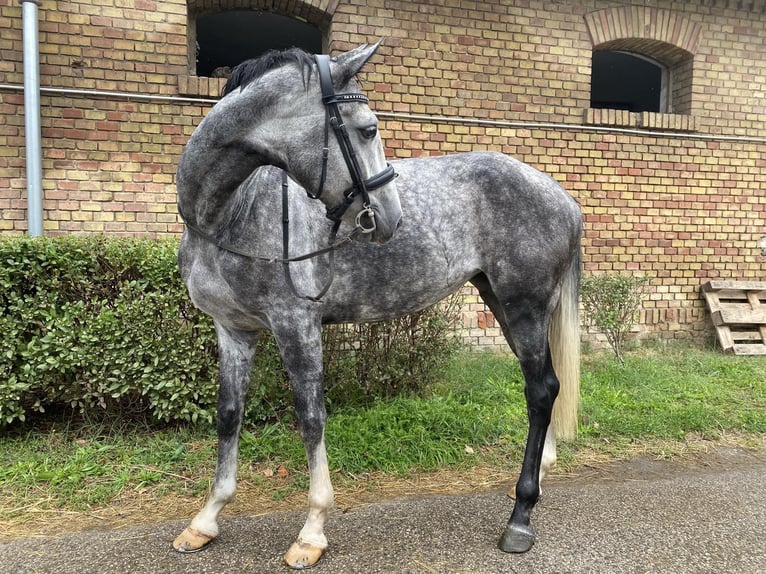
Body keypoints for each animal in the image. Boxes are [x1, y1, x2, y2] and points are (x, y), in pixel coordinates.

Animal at [174, 44, 584, 572]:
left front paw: (312, 532)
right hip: (503, 302)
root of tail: (561, 197)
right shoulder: (233, 330)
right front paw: (205, 520)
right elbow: (229, 415)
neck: (229, 215)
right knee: (547, 387)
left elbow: (311, 418)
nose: (391, 217)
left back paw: (521, 515)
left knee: (539, 390)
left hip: (525, 306)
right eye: (368, 129)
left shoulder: (295, 325)